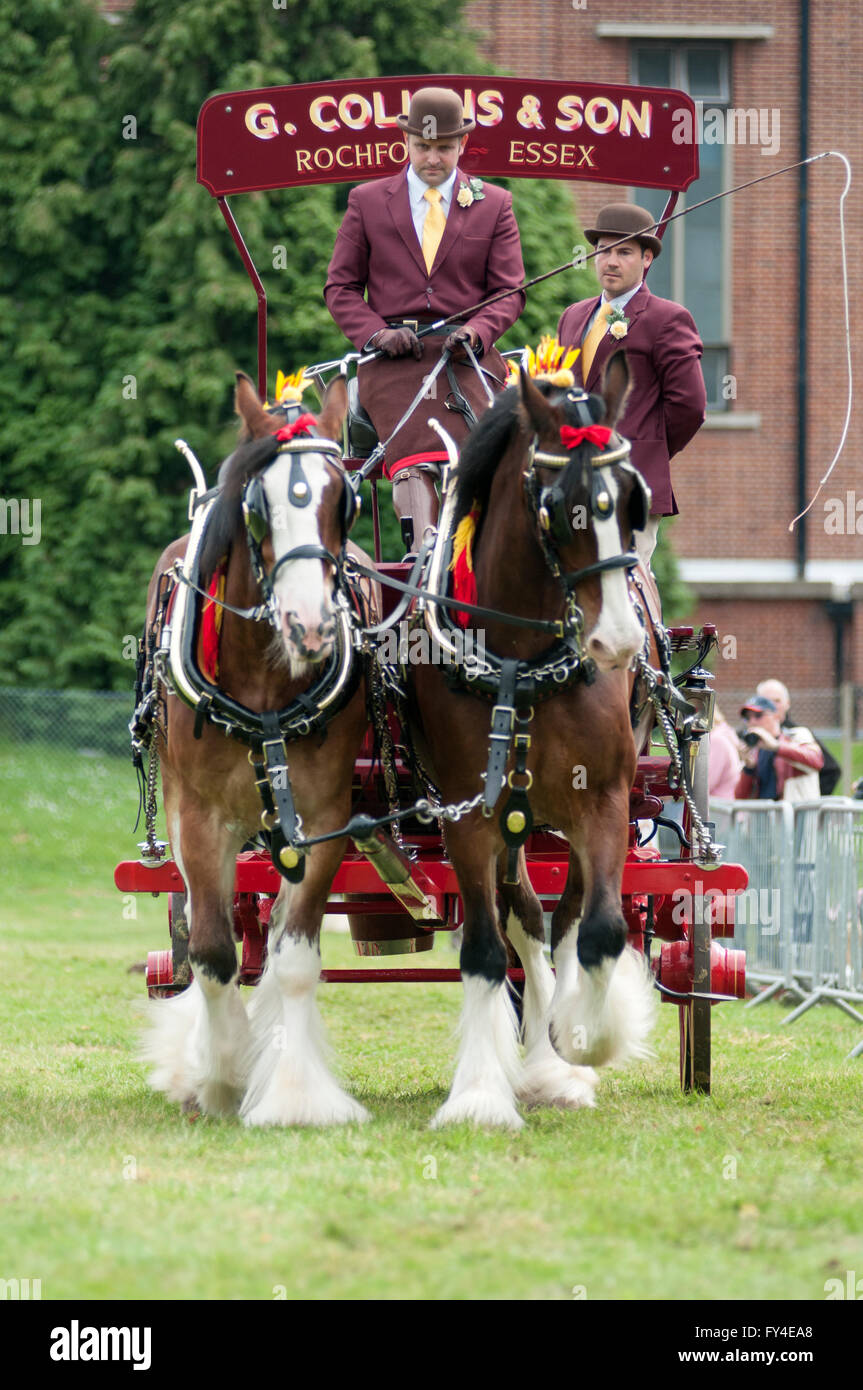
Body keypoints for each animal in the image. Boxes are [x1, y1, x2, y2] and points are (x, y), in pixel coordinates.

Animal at [139, 372, 372, 1128]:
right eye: (258, 509)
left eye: (343, 500)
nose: (310, 625)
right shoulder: (198, 820)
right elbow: (213, 952)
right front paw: (218, 1079)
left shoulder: (323, 819)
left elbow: (291, 957)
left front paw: (295, 1094)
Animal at [408, 353, 653, 1123]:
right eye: (558, 503)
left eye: (630, 499)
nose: (618, 641)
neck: (521, 662)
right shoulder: (468, 815)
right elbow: (486, 951)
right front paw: (481, 1095)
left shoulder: (603, 801)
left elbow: (601, 931)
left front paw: (580, 1041)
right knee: (524, 920)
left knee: (563, 920)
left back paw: (557, 1055)